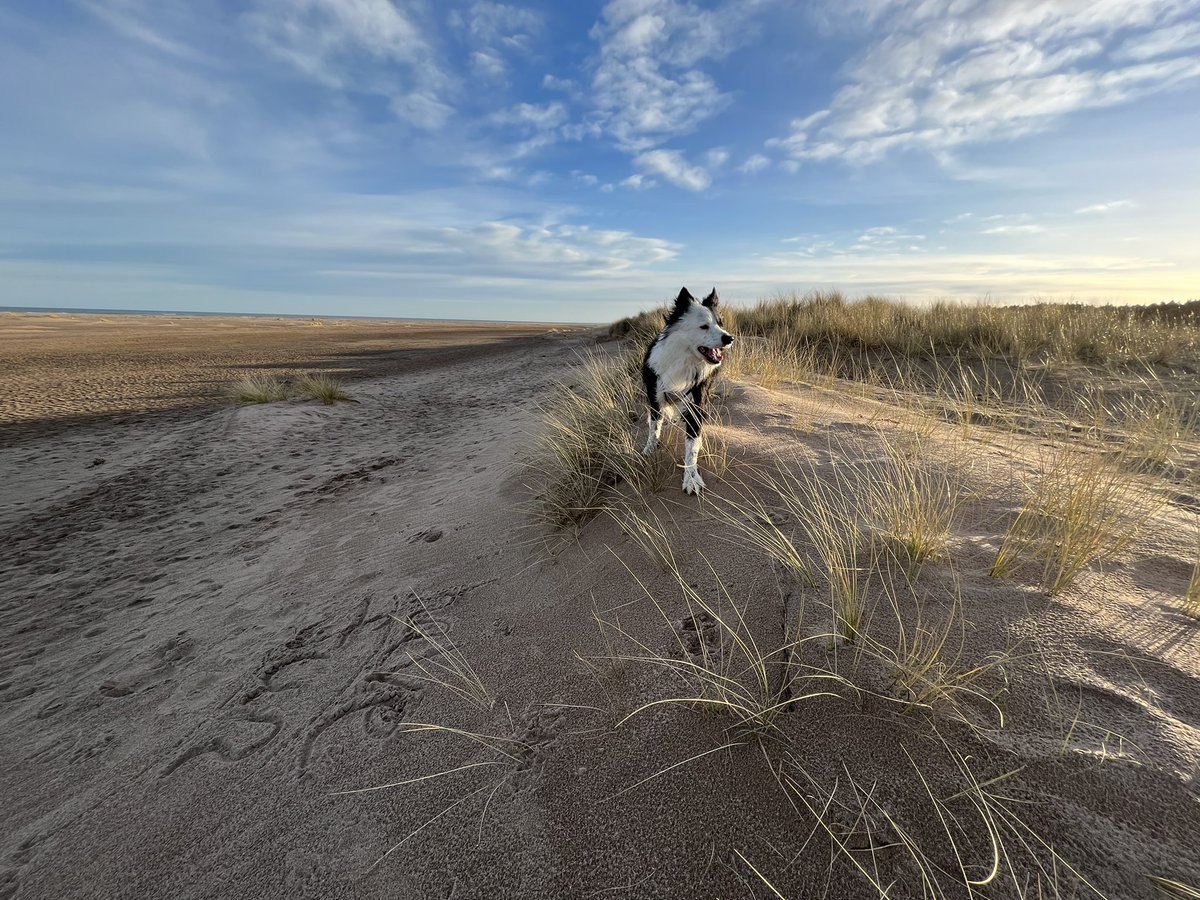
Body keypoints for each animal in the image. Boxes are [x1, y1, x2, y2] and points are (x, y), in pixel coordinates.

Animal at [643, 289, 734, 496]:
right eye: (703, 327)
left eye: (720, 324)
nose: (729, 338)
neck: (684, 360)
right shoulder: (656, 397)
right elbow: (654, 428)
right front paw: (650, 449)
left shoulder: (696, 405)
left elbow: (691, 448)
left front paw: (691, 478)